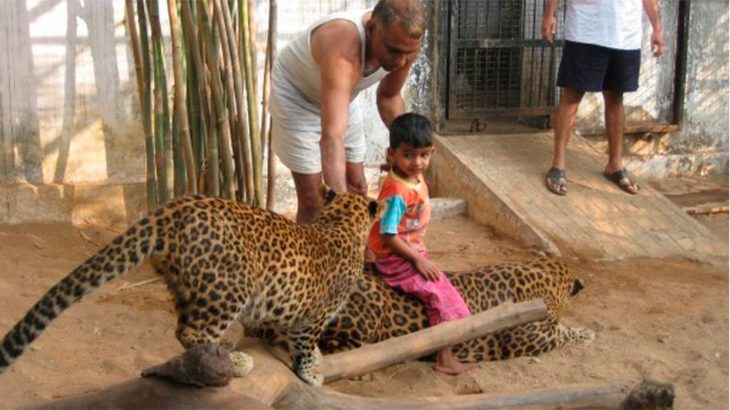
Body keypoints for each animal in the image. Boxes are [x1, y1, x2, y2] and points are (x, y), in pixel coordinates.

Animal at [0, 187, 384, 386]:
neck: (340, 221)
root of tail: (171, 208)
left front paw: (315, 359)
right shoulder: (314, 315)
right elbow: (303, 343)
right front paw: (312, 371)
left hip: (188, 285)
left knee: (183, 330)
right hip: (229, 287)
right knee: (193, 332)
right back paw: (236, 361)